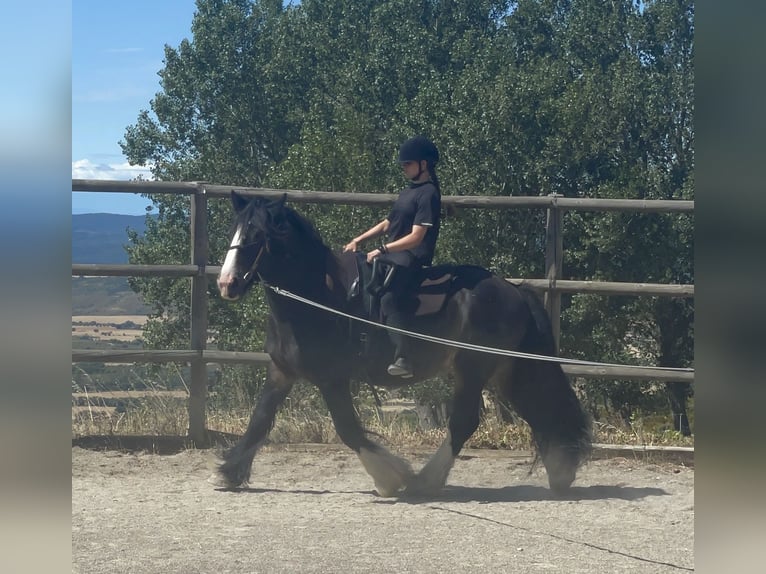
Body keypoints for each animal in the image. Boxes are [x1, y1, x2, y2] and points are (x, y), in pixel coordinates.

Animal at [215, 191, 591, 496]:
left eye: (257, 236)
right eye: (234, 230)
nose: (226, 284)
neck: (315, 297)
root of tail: (513, 289)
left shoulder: (332, 378)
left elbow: (348, 430)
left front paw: (389, 479)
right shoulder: (282, 371)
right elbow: (260, 419)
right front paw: (229, 473)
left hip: (474, 367)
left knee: (464, 422)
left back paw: (425, 482)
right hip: (505, 369)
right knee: (538, 408)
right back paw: (561, 470)